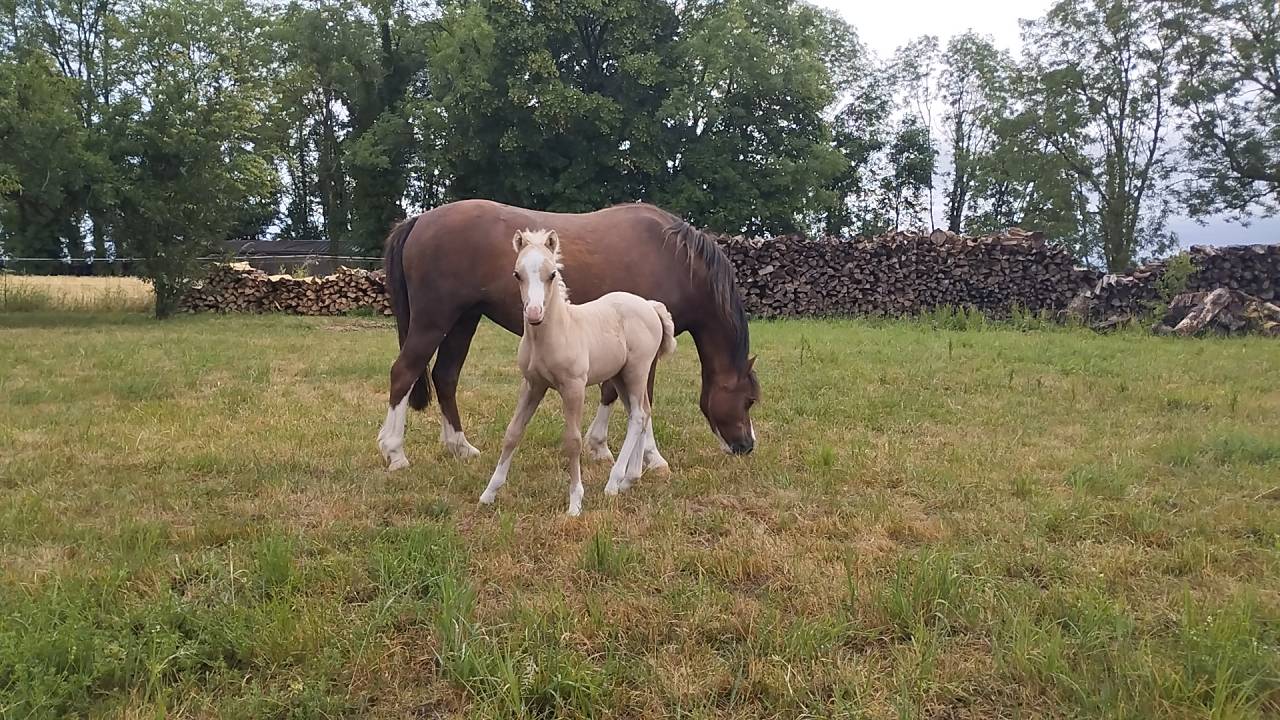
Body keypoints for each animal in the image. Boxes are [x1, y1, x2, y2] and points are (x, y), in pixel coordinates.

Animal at [375, 199, 758, 473]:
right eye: (749, 400)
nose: (746, 446)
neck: (676, 261)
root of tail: (419, 220)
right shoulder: (643, 353)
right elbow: (640, 402)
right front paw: (652, 458)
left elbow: (611, 392)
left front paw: (599, 446)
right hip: (433, 320)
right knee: (404, 373)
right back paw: (395, 453)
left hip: (463, 321)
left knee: (445, 377)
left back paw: (460, 446)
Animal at [477, 229, 678, 515]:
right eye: (517, 274)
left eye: (552, 274)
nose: (534, 313)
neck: (558, 332)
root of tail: (650, 306)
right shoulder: (532, 385)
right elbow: (512, 433)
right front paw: (489, 493)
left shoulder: (573, 388)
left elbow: (573, 441)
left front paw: (575, 503)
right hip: (620, 376)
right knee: (641, 412)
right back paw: (630, 479)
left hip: (637, 370)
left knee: (638, 416)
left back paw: (614, 483)